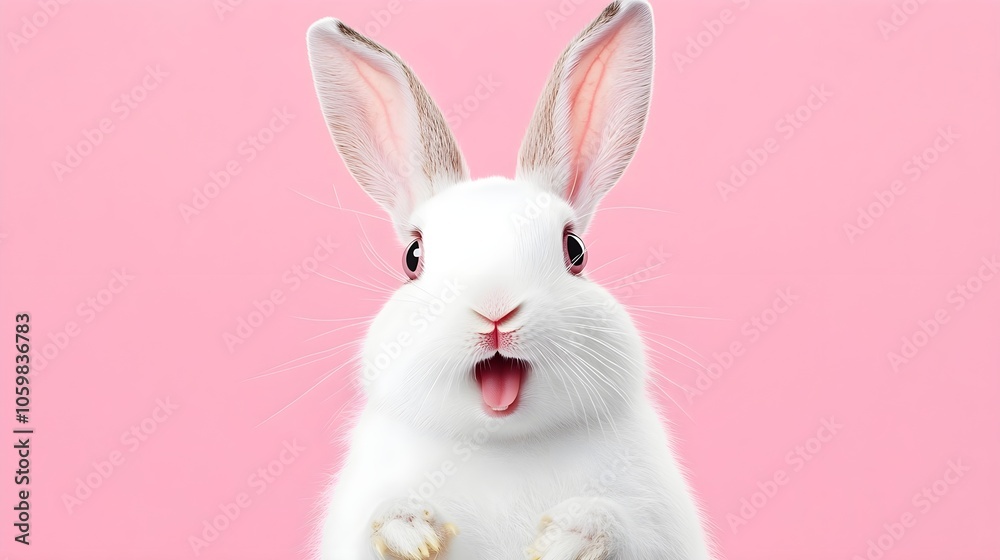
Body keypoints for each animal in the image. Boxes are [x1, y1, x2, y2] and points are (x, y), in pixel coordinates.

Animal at [306, 1, 713, 559]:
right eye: (413, 257)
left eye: (575, 250)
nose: (494, 310)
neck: (502, 441)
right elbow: (376, 522)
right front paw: (410, 529)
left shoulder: (658, 520)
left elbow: (626, 526)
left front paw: (569, 534)